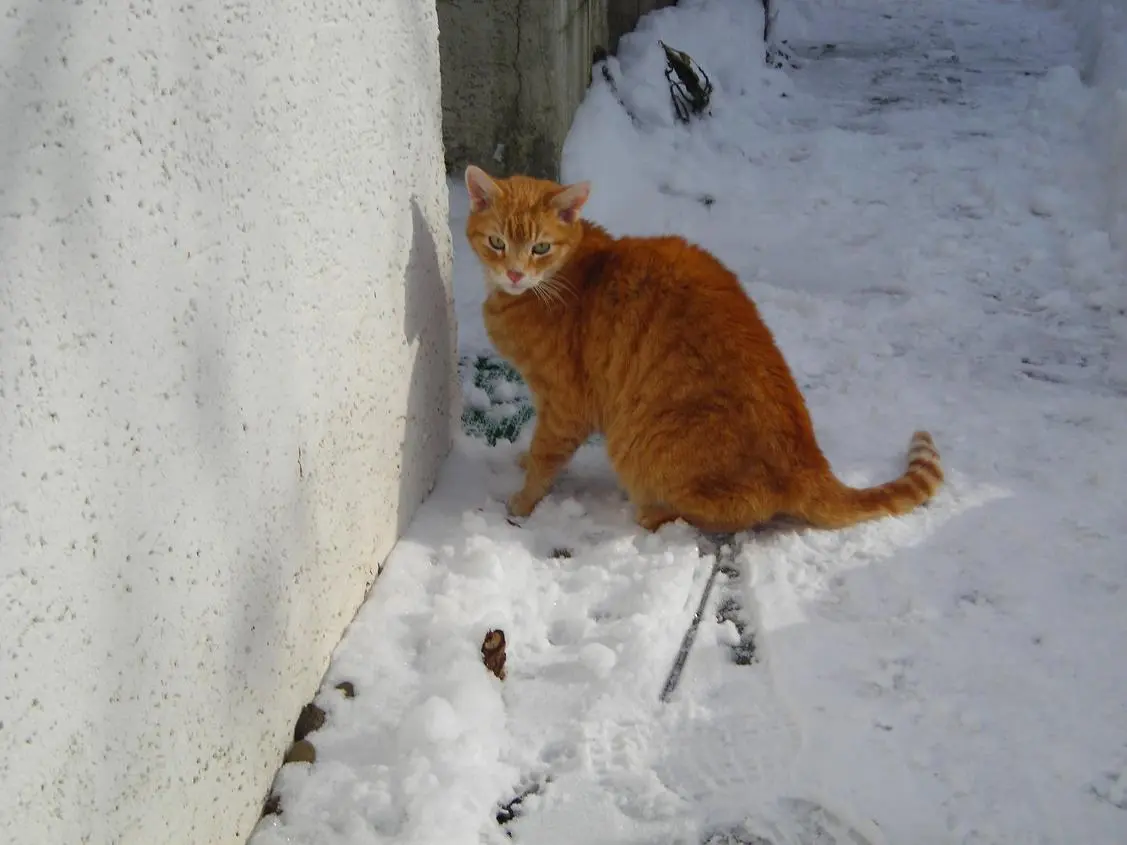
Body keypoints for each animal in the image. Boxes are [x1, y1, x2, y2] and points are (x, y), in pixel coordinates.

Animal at [463, 164, 943, 533]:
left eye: (541, 247)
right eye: (497, 243)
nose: (514, 274)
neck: (559, 280)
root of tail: (809, 465)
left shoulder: (565, 404)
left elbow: (547, 454)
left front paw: (523, 501)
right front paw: (524, 463)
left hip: (635, 445)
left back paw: (653, 515)